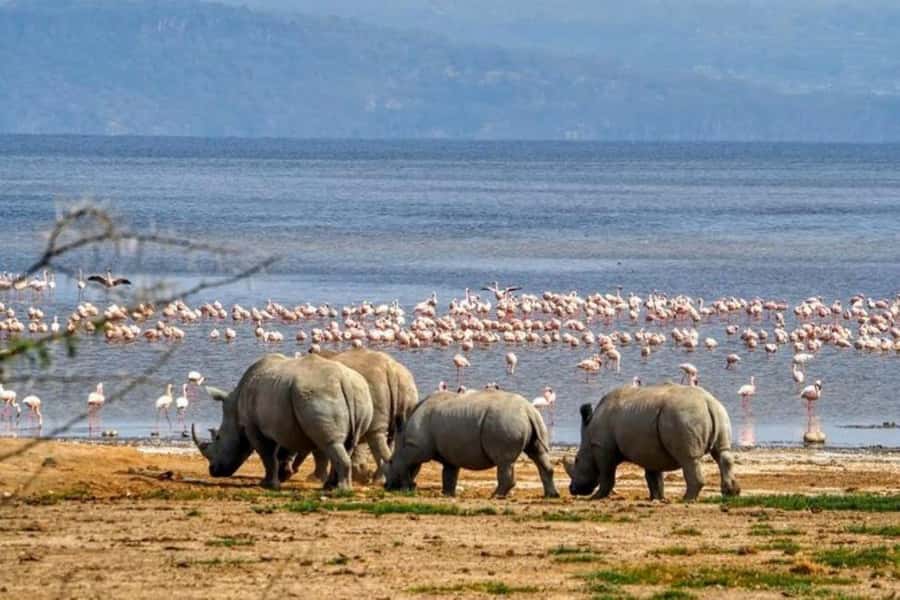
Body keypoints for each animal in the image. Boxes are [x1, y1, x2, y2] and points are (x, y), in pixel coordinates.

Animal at [191, 353, 373, 490]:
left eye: (218, 438)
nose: (212, 470)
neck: (235, 406)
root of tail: (344, 381)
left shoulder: (253, 426)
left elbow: (267, 455)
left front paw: (268, 484)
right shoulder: (283, 423)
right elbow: (282, 452)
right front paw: (282, 476)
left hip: (319, 393)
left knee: (330, 443)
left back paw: (341, 491)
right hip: (360, 393)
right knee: (346, 444)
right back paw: (330, 487)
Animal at [384, 389, 559, 498]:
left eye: (390, 462)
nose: (387, 486)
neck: (403, 436)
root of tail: (528, 410)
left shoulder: (417, 447)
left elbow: (404, 463)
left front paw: (406, 488)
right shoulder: (449, 453)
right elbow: (449, 473)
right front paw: (447, 494)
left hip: (505, 421)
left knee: (504, 461)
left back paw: (495, 496)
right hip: (531, 420)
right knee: (538, 454)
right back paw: (551, 495)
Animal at [564, 383, 740, 501]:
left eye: (577, 460)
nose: (572, 489)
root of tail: (707, 402)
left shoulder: (603, 447)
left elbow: (606, 475)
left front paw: (596, 497)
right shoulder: (648, 449)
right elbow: (653, 476)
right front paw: (657, 498)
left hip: (683, 417)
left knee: (688, 458)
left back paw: (687, 499)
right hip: (719, 412)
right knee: (722, 453)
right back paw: (731, 493)